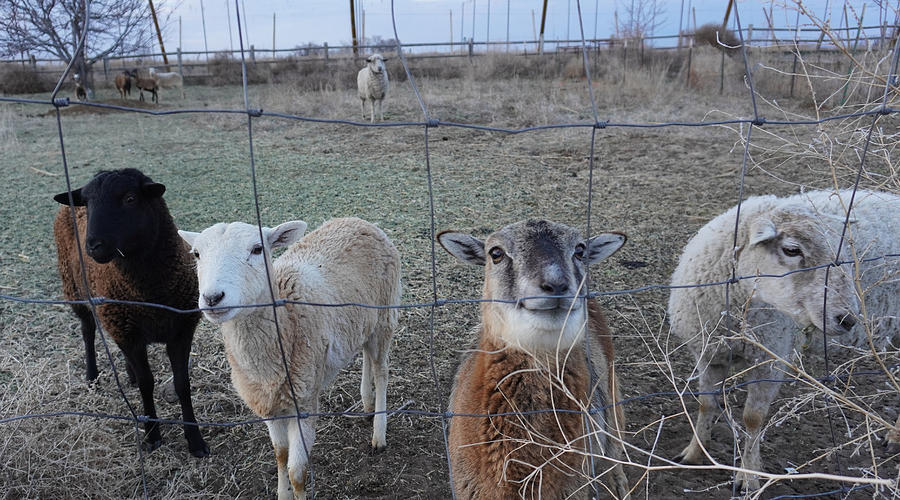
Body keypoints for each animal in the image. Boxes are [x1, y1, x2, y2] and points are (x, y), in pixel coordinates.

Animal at [178, 218, 400, 500]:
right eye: (196, 254)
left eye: (257, 249)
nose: (212, 298)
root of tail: (360, 221)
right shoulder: (269, 406)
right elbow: (280, 455)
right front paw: (281, 493)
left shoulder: (304, 402)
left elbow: (297, 472)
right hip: (362, 322)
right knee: (366, 356)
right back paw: (367, 403)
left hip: (385, 315)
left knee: (381, 371)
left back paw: (379, 433)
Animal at [668, 189, 900, 490]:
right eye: (792, 250)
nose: (848, 319)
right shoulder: (709, 353)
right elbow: (706, 403)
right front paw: (695, 453)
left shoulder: (769, 358)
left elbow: (752, 419)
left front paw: (749, 476)